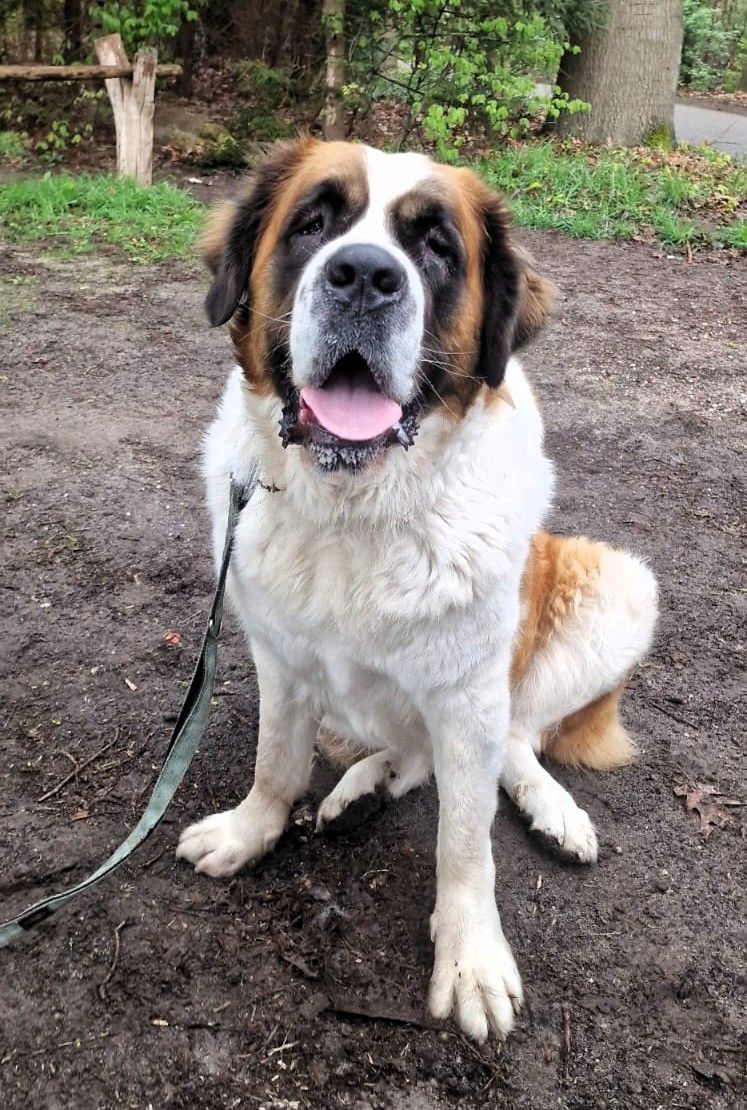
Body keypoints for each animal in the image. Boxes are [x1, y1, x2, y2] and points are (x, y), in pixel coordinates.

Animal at [176, 139, 658, 1042]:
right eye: (313, 223)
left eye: (436, 247)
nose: (364, 275)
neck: (355, 510)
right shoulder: (278, 657)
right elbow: (275, 760)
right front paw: (250, 831)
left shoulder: (469, 694)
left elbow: (464, 842)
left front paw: (470, 960)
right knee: (408, 750)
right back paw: (363, 789)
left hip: (619, 586)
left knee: (515, 740)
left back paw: (553, 811)